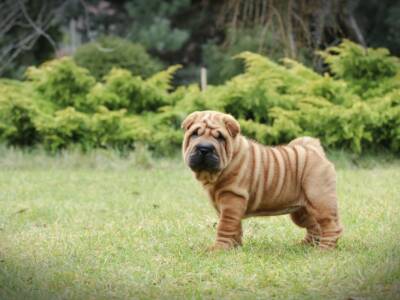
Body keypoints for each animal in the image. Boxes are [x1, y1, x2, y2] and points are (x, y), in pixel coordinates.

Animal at [183, 110, 342, 251]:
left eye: (220, 137)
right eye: (195, 134)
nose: (204, 148)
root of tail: (315, 149)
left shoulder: (232, 199)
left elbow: (225, 226)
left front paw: (219, 249)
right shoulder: (227, 206)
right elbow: (235, 227)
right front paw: (235, 247)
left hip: (320, 200)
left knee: (331, 226)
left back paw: (324, 249)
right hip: (301, 210)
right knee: (314, 226)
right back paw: (305, 245)